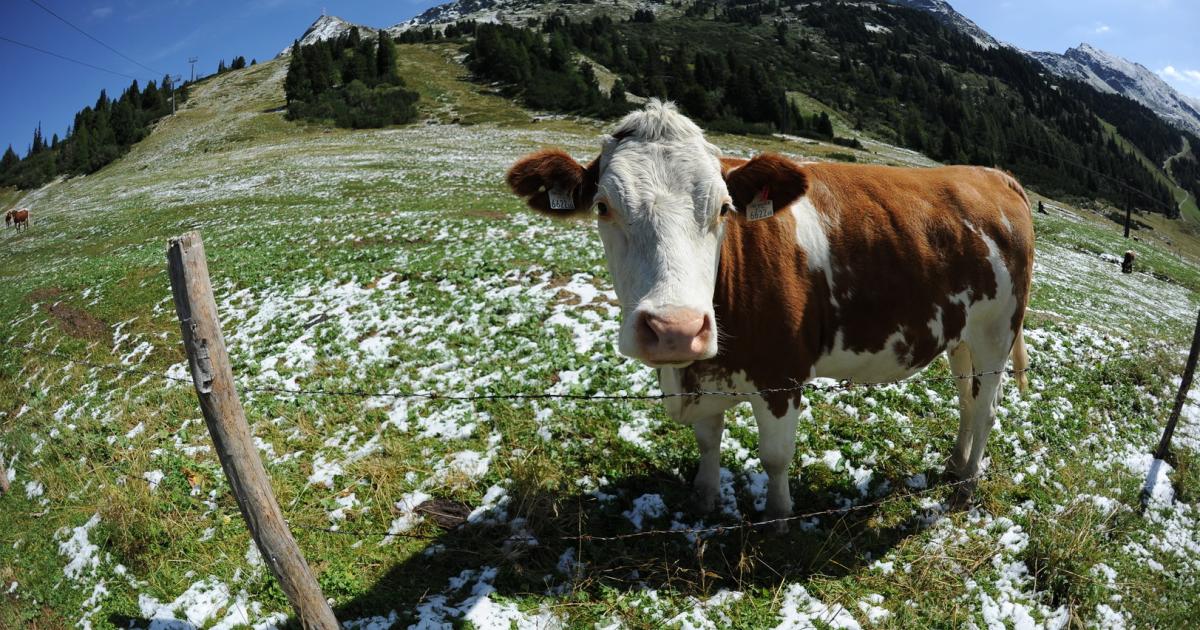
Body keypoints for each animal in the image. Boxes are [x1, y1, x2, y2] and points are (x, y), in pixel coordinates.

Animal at [506, 100, 1032, 525]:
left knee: (987, 408)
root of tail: (991, 174)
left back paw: (967, 484)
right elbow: (708, 439)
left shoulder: (782, 373)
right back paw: (955, 463)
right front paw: (705, 499)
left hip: (997, 330)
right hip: (960, 333)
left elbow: (775, 456)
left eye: (723, 207)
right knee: (967, 398)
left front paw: (778, 518)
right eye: (602, 207)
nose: (675, 329)